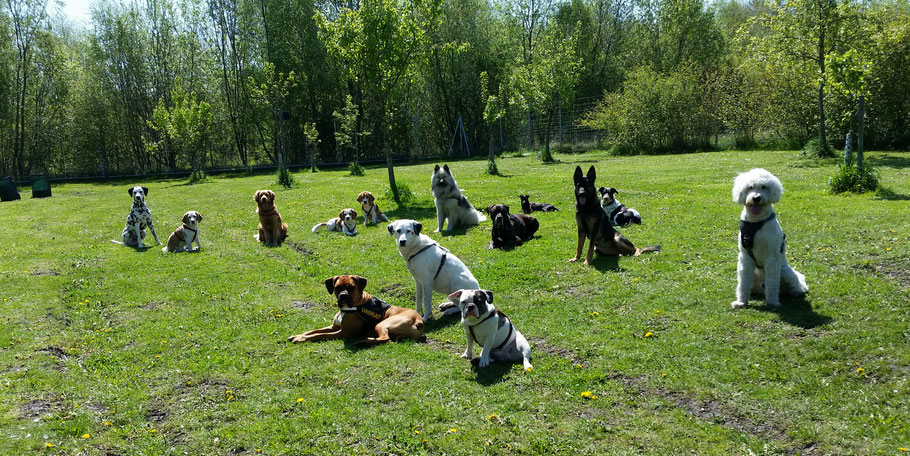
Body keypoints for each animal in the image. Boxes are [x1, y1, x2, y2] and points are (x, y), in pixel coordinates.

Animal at [286, 274, 426, 346]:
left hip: (382, 324)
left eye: (351, 287)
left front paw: (301, 339)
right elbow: (313, 331)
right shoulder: (334, 327)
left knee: (385, 339)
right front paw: (299, 335)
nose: (343, 296)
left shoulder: (343, 332)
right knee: (388, 339)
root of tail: (418, 320)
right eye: (337, 288)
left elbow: (319, 335)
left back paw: (364, 341)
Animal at [732, 168, 812, 310]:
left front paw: (773, 302)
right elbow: (743, 283)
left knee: (797, 286)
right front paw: (741, 301)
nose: (756, 198)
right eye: (750, 187)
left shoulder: (772, 257)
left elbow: (772, 283)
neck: (756, 223)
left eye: (764, 187)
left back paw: (795, 292)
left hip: (785, 271)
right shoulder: (745, 258)